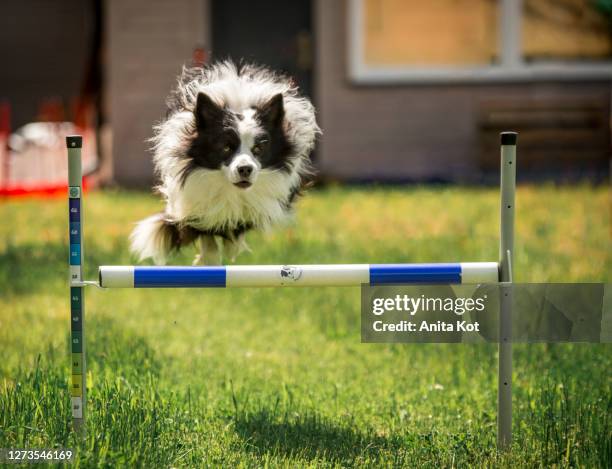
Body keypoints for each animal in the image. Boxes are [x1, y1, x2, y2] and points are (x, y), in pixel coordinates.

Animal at [130, 60, 320, 266]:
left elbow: (237, 225)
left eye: (258, 149)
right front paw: (209, 258)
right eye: (226, 148)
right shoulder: (189, 201)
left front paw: (230, 246)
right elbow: (204, 229)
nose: (245, 169)